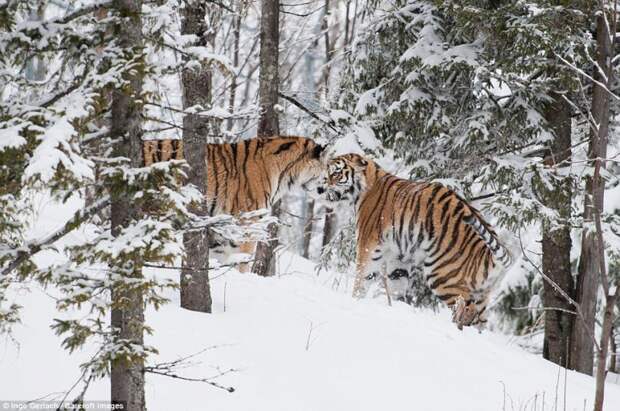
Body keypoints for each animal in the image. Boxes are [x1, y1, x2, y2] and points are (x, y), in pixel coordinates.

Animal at [322, 153, 512, 330]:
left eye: (336, 173)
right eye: (328, 172)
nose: (323, 187)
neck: (365, 186)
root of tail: (488, 254)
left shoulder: (367, 245)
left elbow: (362, 279)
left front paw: (355, 300)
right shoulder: (398, 257)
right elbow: (396, 284)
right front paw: (392, 307)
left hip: (443, 276)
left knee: (463, 308)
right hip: (481, 294)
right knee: (480, 321)